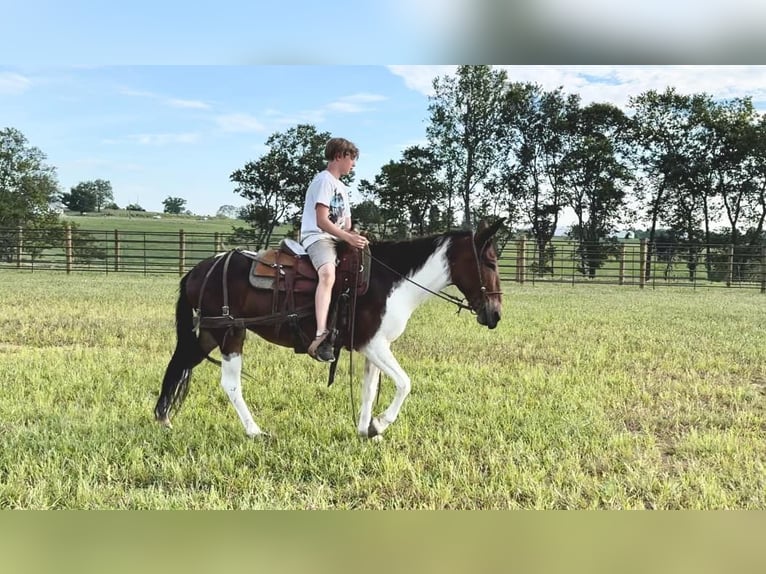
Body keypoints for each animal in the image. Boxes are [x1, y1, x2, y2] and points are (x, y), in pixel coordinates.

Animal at [154, 220, 504, 440]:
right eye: (489, 262)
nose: (496, 314)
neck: (389, 282)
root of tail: (198, 270)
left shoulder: (373, 348)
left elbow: (369, 390)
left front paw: (366, 430)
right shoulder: (373, 344)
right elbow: (405, 383)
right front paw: (380, 424)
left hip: (210, 333)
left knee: (179, 364)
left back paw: (164, 418)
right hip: (231, 333)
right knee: (230, 384)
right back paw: (254, 431)